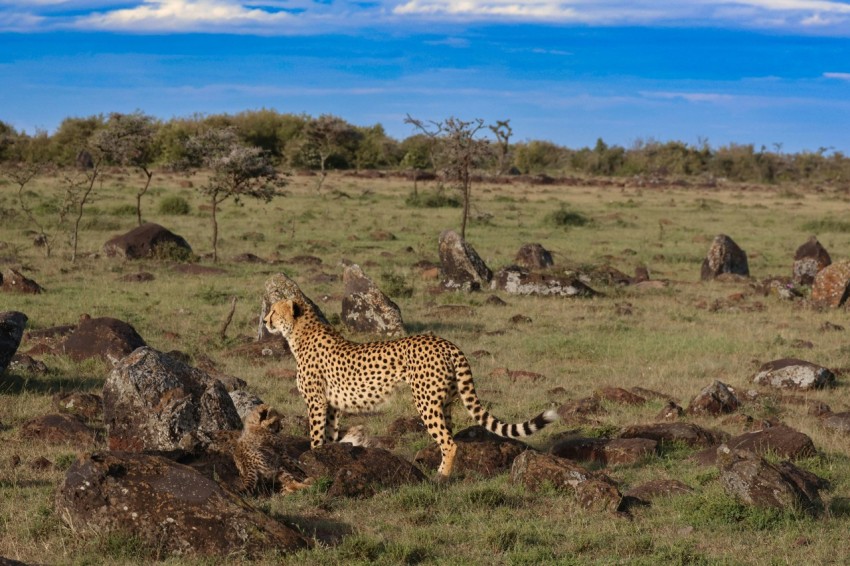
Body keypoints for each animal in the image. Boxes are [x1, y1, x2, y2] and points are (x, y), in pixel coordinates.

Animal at [263, 298, 559, 478]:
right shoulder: (333, 405)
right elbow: (329, 435)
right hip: (445, 402)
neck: (299, 332)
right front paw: (328, 458)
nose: (265, 321)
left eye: (274, 311)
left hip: (426, 402)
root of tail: (447, 343)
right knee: (449, 436)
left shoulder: (316, 402)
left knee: (449, 442)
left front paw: (311, 461)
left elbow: (315, 436)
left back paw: (440, 477)